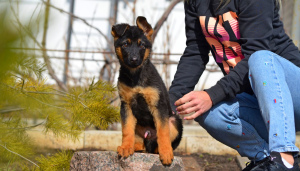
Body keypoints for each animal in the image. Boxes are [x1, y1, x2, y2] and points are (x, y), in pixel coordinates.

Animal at [111, 16, 183, 166]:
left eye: (142, 45)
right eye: (125, 45)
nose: (134, 60)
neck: (135, 76)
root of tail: (149, 135)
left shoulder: (158, 105)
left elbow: (163, 132)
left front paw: (166, 152)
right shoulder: (126, 106)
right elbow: (126, 130)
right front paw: (125, 147)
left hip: (174, 121)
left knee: (158, 142)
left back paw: (160, 149)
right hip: (138, 125)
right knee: (140, 142)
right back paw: (133, 147)